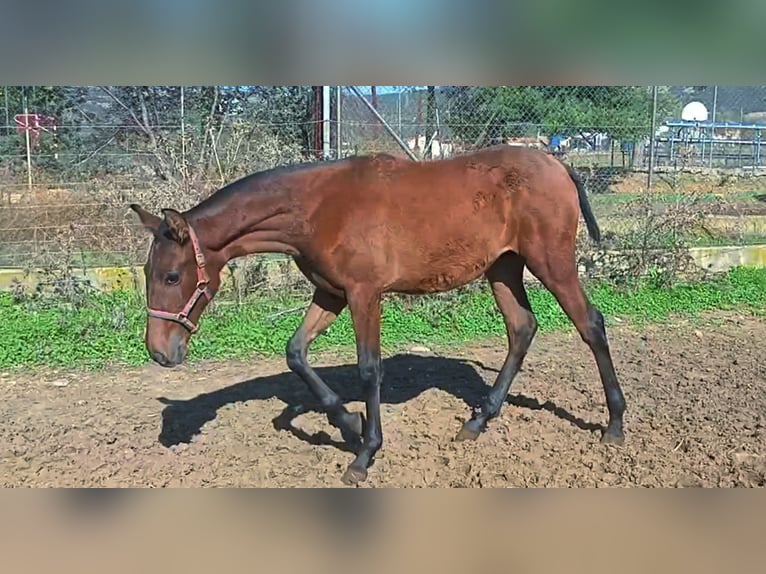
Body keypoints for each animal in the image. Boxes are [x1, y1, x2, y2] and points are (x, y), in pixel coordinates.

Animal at [129, 144, 628, 486]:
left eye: (172, 276)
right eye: (148, 272)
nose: (160, 351)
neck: (317, 207)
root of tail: (559, 166)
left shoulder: (364, 294)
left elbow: (370, 368)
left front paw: (365, 454)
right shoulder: (330, 293)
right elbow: (296, 353)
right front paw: (348, 423)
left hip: (551, 262)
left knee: (591, 325)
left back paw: (615, 426)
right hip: (503, 267)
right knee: (522, 328)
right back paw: (476, 421)